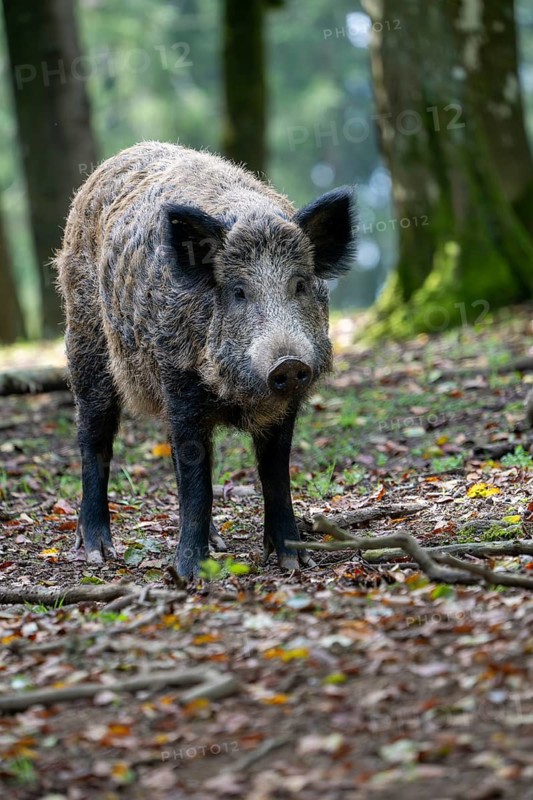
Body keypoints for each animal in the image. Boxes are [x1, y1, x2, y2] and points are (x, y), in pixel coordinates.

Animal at [55, 142, 356, 578]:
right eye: (238, 291)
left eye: (299, 284)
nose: (287, 363)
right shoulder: (179, 382)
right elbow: (198, 480)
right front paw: (189, 573)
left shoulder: (283, 410)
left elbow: (275, 473)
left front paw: (294, 562)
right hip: (85, 342)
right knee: (94, 438)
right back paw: (97, 551)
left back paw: (217, 542)